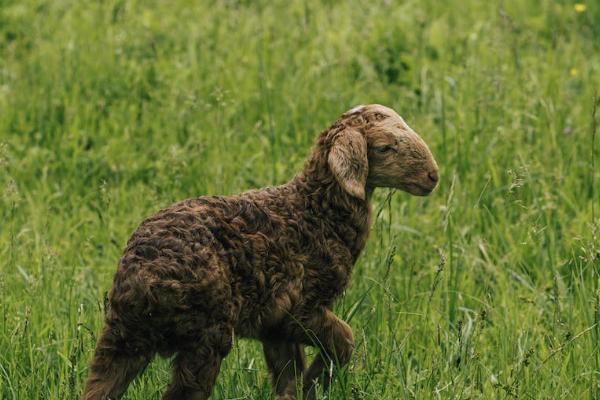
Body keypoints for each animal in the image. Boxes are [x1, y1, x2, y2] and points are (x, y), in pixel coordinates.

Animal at [82, 104, 438, 400]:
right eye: (384, 147)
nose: (432, 176)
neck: (315, 212)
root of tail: (142, 282)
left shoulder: (274, 327)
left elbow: (287, 377)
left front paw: (306, 390)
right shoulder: (301, 310)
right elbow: (344, 340)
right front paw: (318, 382)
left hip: (121, 341)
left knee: (99, 388)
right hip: (206, 335)